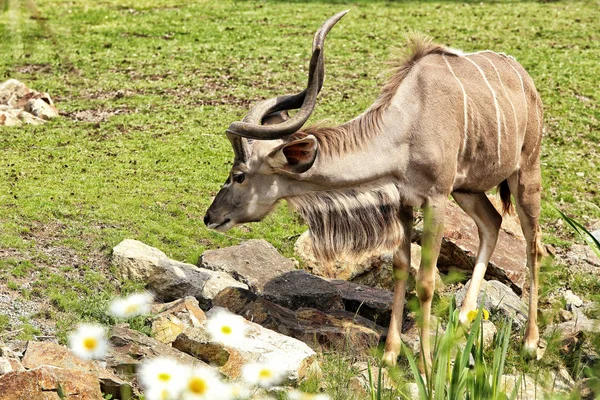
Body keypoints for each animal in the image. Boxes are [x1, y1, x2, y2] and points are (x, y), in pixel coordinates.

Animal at [205, 11, 544, 368]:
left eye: (239, 175)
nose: (210, 216)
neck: (407, 123)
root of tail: (524, 78)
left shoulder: (435, 199)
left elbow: (425, 280)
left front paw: (426, 365)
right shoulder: (405, 200)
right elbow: (400, 268)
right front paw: (391, 355)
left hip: (526, 173)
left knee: (533, 245)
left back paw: (530, 344)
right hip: (466, 189)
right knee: (492, 222)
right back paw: (465, 320)